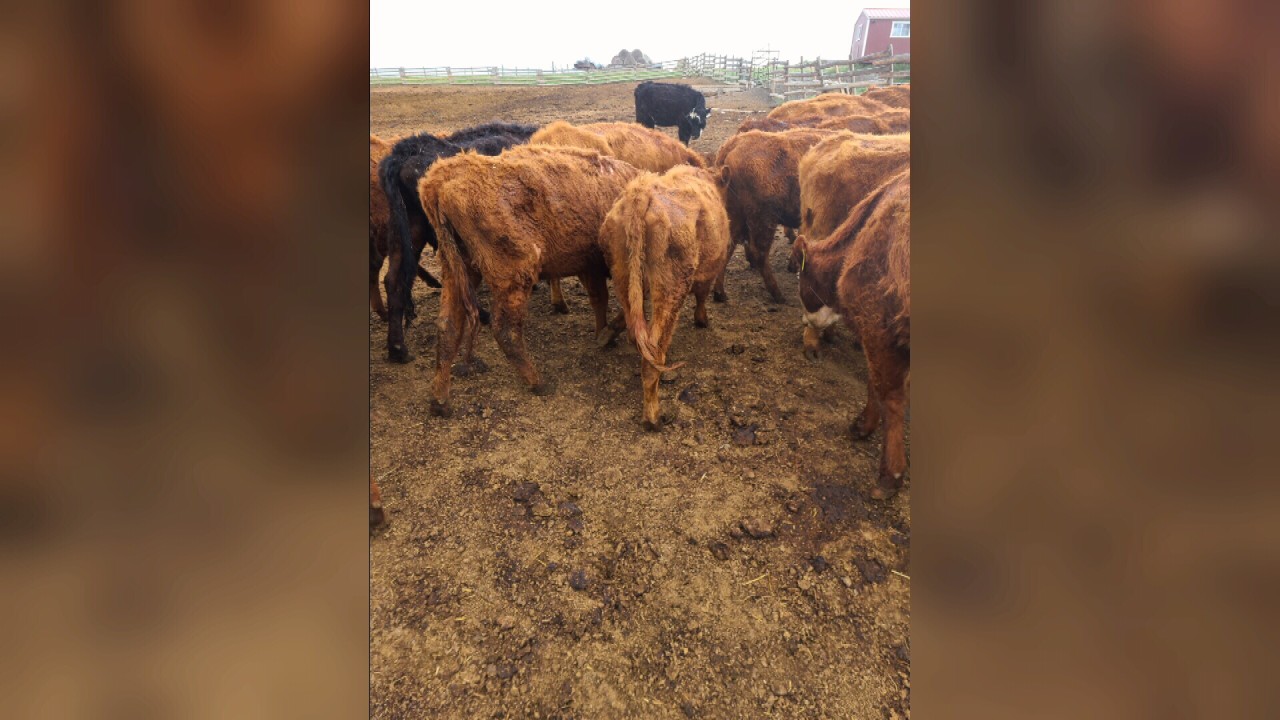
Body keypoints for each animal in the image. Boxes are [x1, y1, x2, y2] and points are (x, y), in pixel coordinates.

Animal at [419, 145, 644, 416]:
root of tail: (441, 181)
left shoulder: (590, 266)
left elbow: (599, 299)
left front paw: (603, 335)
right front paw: (608, 335)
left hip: (457, 272)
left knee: (448, 326)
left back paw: (440, 401)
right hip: (515, 276)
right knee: (505, 330)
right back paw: (538, 382)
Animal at [597, 166, 731, 430]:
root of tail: (641, 193)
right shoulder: (710, 269)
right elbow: (702, 295)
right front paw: (702, 320)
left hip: (622, 272)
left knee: (636, 329)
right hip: (671, 290)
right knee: (653, 356)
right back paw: (653, 418)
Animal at [711, 128, 839, 303]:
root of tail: (733, 144)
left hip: (736, 217)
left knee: (729, 247)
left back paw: (720, 294)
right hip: (764, 219)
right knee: (760, 254)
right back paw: (778, 294)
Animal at [793, 170, 911, 499]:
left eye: (800, 277)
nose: (806, 321)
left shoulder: (877, 328)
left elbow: (889, 394)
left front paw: (891, 474)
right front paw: (865, 424)